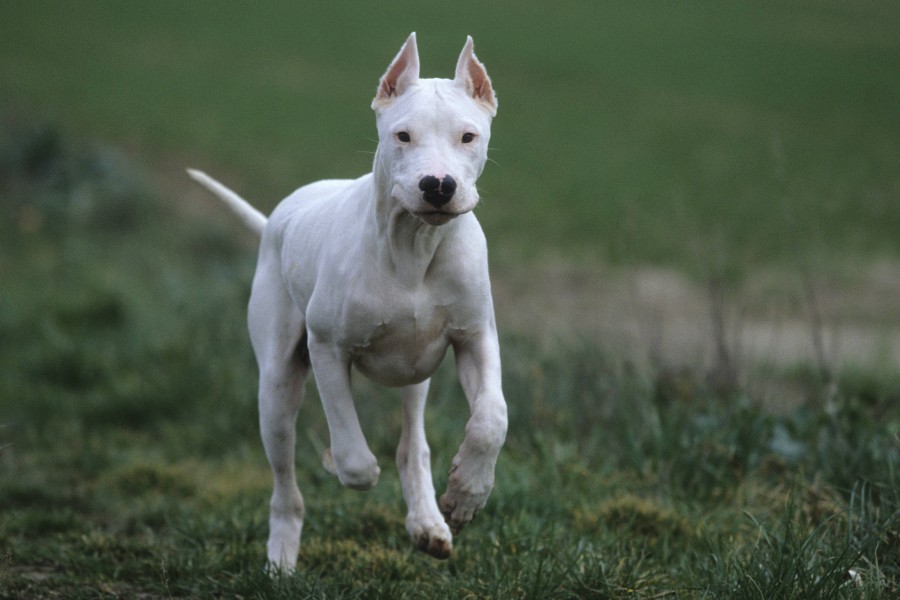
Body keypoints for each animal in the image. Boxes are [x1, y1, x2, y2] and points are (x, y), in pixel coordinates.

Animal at [188, 34, 506, 572]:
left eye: (468, 136)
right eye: (402, 136)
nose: (438, 186)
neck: (412, 246)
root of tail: (277, 218)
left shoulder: (475, 336)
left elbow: (492, 420)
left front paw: (466, 495)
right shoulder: (327, 347)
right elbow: (351, 447)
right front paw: (345, 466)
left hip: (415, 375)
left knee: (412, 445)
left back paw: (428, 525)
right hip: (277, 384)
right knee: (285, 482)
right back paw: (281, 557)